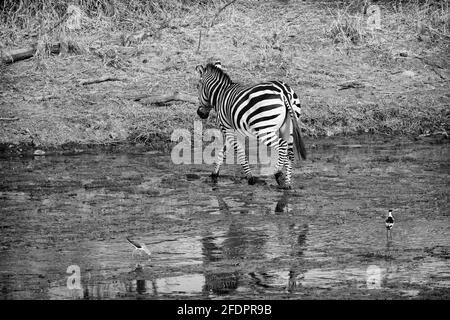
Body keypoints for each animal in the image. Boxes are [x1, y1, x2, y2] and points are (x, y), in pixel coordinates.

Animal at [196, 61, 306, 189]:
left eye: (198, 86)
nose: (200, 113)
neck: (221, 94)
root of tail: (283, 91)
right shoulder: (232, 129)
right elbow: (223, 151)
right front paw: (214, 175)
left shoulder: (227, 128)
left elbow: (239, 152)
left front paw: (250, 178)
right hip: (288, 127)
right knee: (290, 151)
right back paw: (287, 183)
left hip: (264, 130)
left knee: (283, 146)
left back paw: (278, 173)